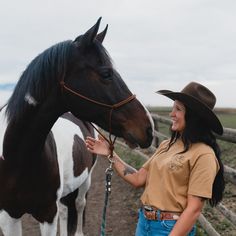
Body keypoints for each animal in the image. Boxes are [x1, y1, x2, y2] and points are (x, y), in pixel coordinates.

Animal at [0, 17, 153, 235]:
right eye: (106, 73)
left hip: (84, 181)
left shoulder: (47, 213)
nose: (148, 128)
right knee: (66, 210)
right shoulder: (9, 215)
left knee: (79, 205)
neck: (18, 158)